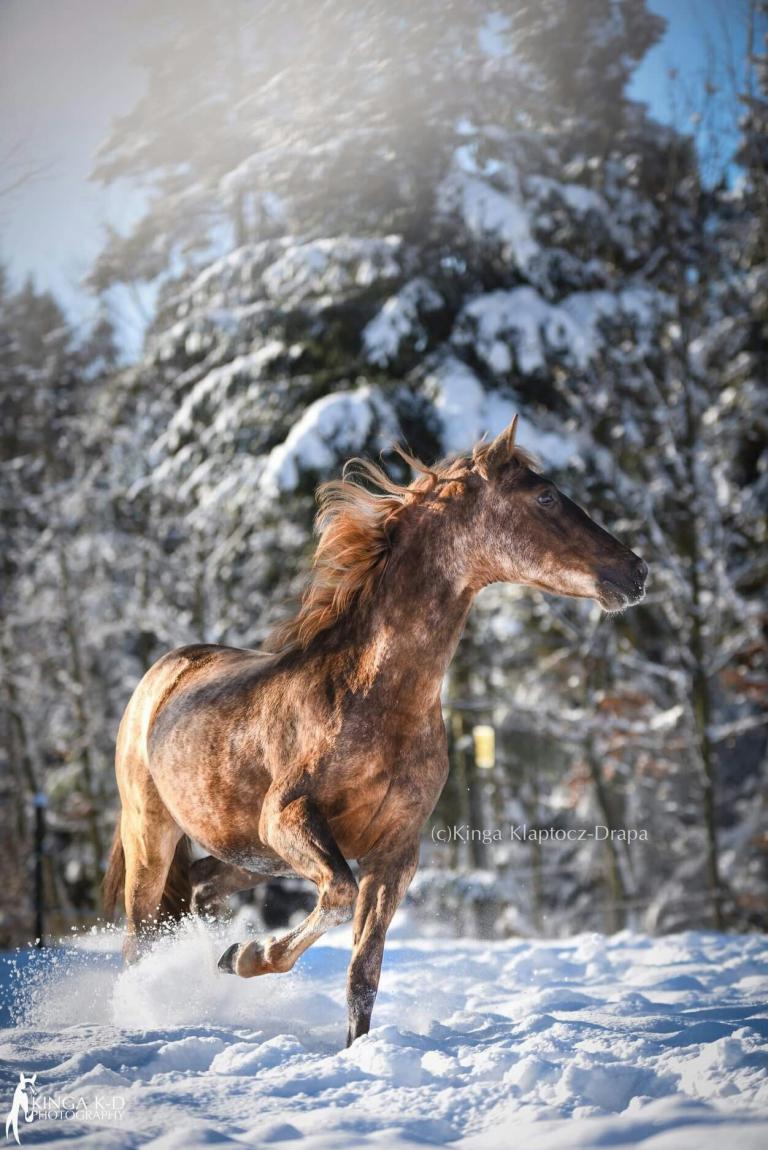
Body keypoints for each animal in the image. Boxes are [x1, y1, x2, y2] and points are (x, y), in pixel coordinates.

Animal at [103, 417, 647, 1045]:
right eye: (546, 497)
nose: (636, 572)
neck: (375, 699)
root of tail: (160, 677)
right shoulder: (287, 818)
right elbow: (336, 900)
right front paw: (249, 954)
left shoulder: (394, 853)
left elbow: (363, 973)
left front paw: (351, 1048)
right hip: (154, 837)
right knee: (138, 940)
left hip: (249, 854)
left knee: (198, 887)